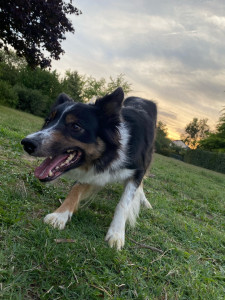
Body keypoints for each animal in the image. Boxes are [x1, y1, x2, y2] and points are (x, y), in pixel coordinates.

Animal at [22, 87, 157, 251]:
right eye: (48, 121)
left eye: (75, 126)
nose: (27, 143)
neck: (110, 153)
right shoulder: (90, 174)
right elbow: (75, 190)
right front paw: (60, 215)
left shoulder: (137, 170)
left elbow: (124, 203)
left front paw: (117, 233)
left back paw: (144, 200)